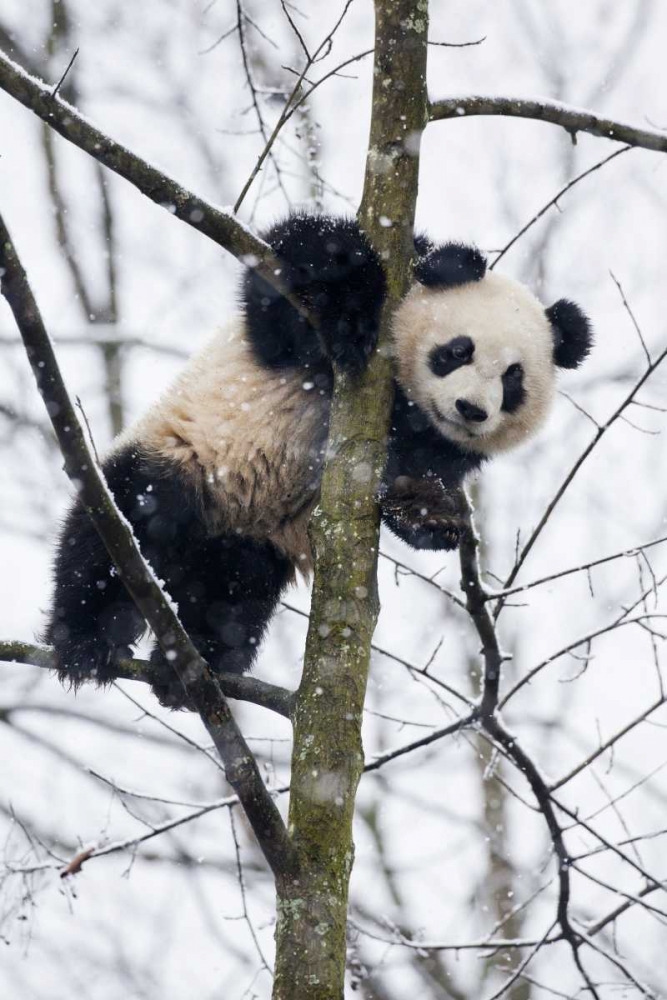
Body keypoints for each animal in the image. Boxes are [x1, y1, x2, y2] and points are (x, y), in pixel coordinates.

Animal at [44, 215, 592, 700]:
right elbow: (294, 274)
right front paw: (352, 313)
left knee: (234, 595)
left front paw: (430, 514)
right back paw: (85, 643)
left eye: (513, 379)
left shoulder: (433, 443)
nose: (472, 409)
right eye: (459, 351)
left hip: (251, 542)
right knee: (116, 530)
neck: (404, 401)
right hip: (184, 457)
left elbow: (416, 473)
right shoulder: (294, 332)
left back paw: (189, 667)